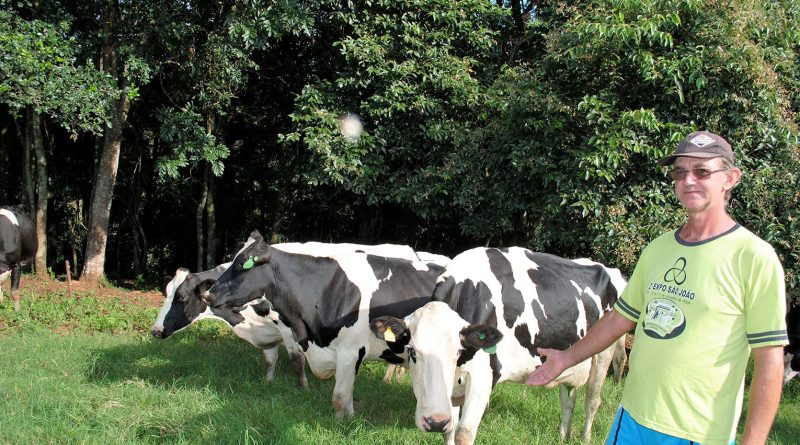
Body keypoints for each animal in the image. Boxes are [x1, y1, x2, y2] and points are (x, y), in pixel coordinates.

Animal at [203, 231, 446, 418]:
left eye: (241, 266)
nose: (208, 294)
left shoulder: (350, 351)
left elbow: (339, 397)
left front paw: (341, 425)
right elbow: (346, 395)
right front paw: (350, 419)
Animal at [368, 248, 624, 442]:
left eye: (457, 351)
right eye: (412, 351)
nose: (434, 421)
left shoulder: (483, 378)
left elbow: (463, 433)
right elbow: (450, 431)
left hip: (604, 352)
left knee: (592, 400)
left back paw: (585, 438)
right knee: (568, 397)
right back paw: (563, 435)